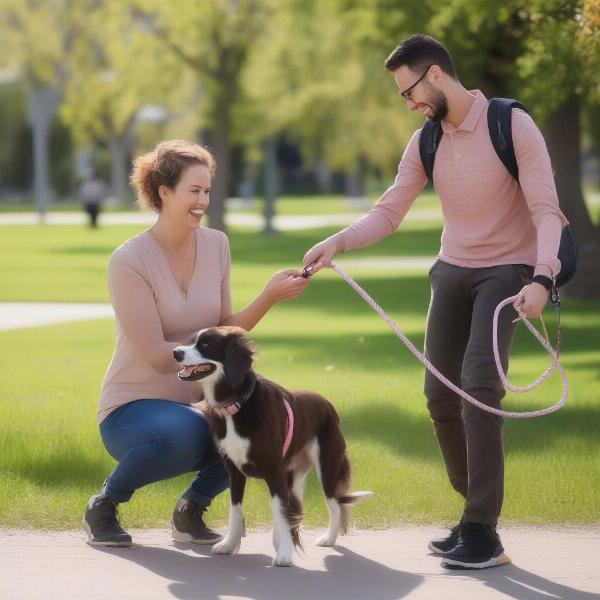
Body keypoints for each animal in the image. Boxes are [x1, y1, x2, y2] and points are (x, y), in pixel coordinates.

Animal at [172, 326, 370, 564]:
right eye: (191, 341)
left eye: (205, 345)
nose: (175, 353)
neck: (237, 405)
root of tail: (327, 404)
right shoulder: (234, 471)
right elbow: (236, 510)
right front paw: (229, 544)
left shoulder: (274, 470)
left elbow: (280, 510)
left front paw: (284, 553)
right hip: (294, 474)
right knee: (294, 506)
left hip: (327, 467)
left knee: (334, 505)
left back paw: (328, 538)